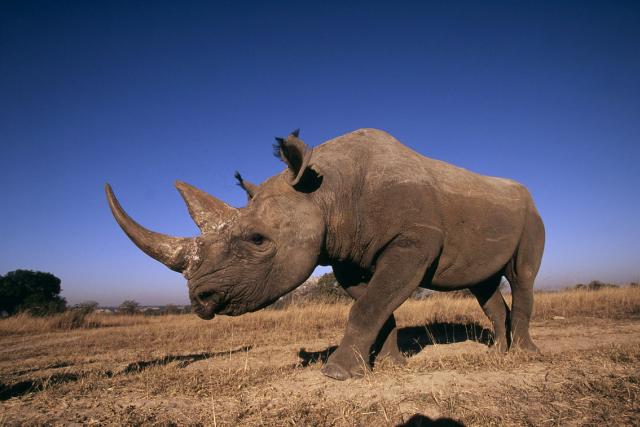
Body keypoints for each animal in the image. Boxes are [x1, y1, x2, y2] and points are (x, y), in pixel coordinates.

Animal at [106, 128, 545, 380]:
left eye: (258, 240)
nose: (200, 299)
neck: (325, 192)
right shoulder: (346, 258)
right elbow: (376, 306)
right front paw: (387, 366)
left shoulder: (414, 242)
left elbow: (370, 306)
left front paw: (336, 373)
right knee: (483, 284)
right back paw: (497, 354)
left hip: (530, 213)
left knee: (523, 276)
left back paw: (526, 356)